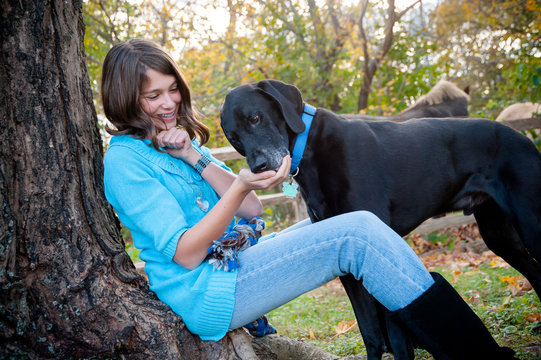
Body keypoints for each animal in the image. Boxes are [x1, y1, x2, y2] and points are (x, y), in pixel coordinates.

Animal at [219, 79, 540, 360]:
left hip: (529, 222)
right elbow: (371, 333)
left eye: (255, 118)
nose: (258, 167)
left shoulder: (376, 241)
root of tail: (522, 137)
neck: (310, 147)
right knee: (535, 273)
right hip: (499, 235)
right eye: (234, 139)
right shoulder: (349, 260)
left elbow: (395, 334)